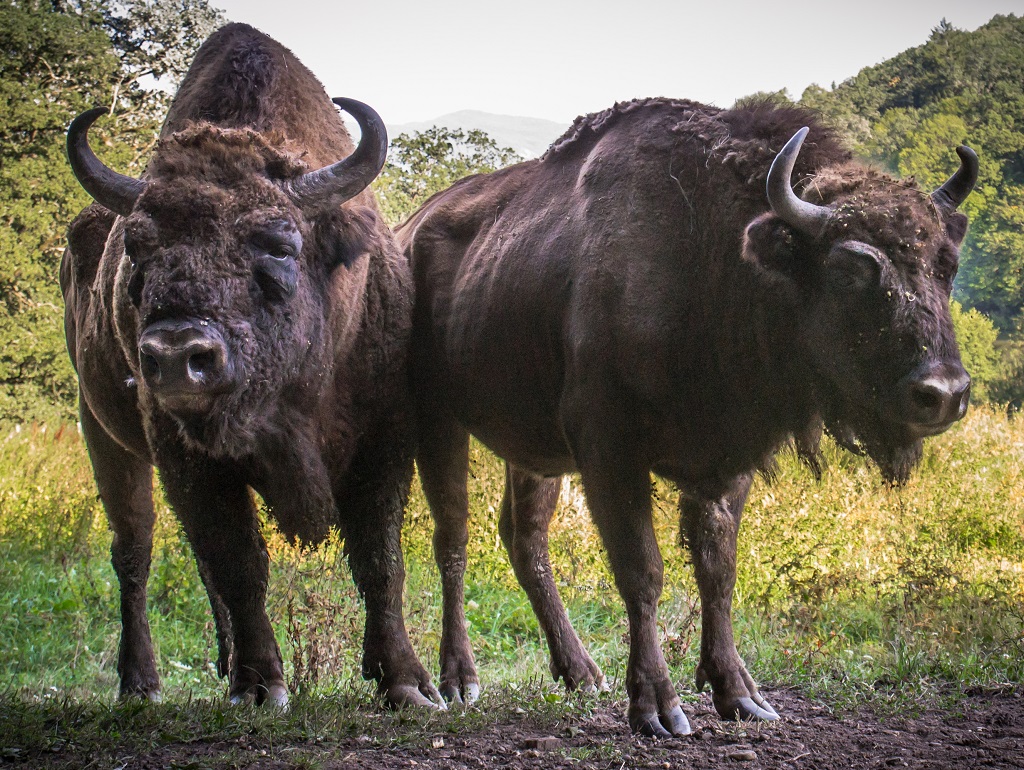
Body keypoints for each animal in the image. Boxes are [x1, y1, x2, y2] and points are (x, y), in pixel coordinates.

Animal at [62, 22, 440, 708]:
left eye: (278, 245)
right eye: (137, 248)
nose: (177, 356)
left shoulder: (386, 438)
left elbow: (380, 560)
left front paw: (407, 684)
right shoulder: (187, 459)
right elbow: (241, 564)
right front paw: (262, 686)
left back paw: (220, 659)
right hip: (103, 435)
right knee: (135, 554)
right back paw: (142, 683)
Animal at [397, 99, 974, 737]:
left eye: (946, 265)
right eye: (850, 269)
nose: (943, 393)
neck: (711, 255)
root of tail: (406, 233)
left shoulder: (727, 459)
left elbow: (717, 570)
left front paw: (739, 693)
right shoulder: (610, 452)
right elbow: (642, 571)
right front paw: (657, 706)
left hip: (534, 449)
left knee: (525, 540)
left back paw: (581, 672)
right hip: (437, 421)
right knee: (453, 539)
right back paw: (458, 679)